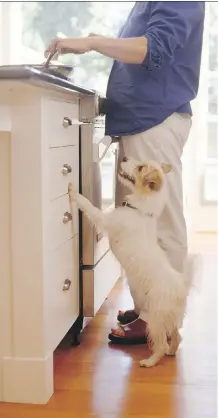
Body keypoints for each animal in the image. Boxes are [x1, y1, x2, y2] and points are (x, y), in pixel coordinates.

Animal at [68, 158, 191, 368]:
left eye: (140, 168)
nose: (124, 159)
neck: (141, 210)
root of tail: (180, 289)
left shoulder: (104, 219)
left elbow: (90, 206)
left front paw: (73, 192)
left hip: (156, 318)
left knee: (160, 344)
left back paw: (150, 361)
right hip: (171, 318)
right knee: (177, 337)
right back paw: (171, 352)